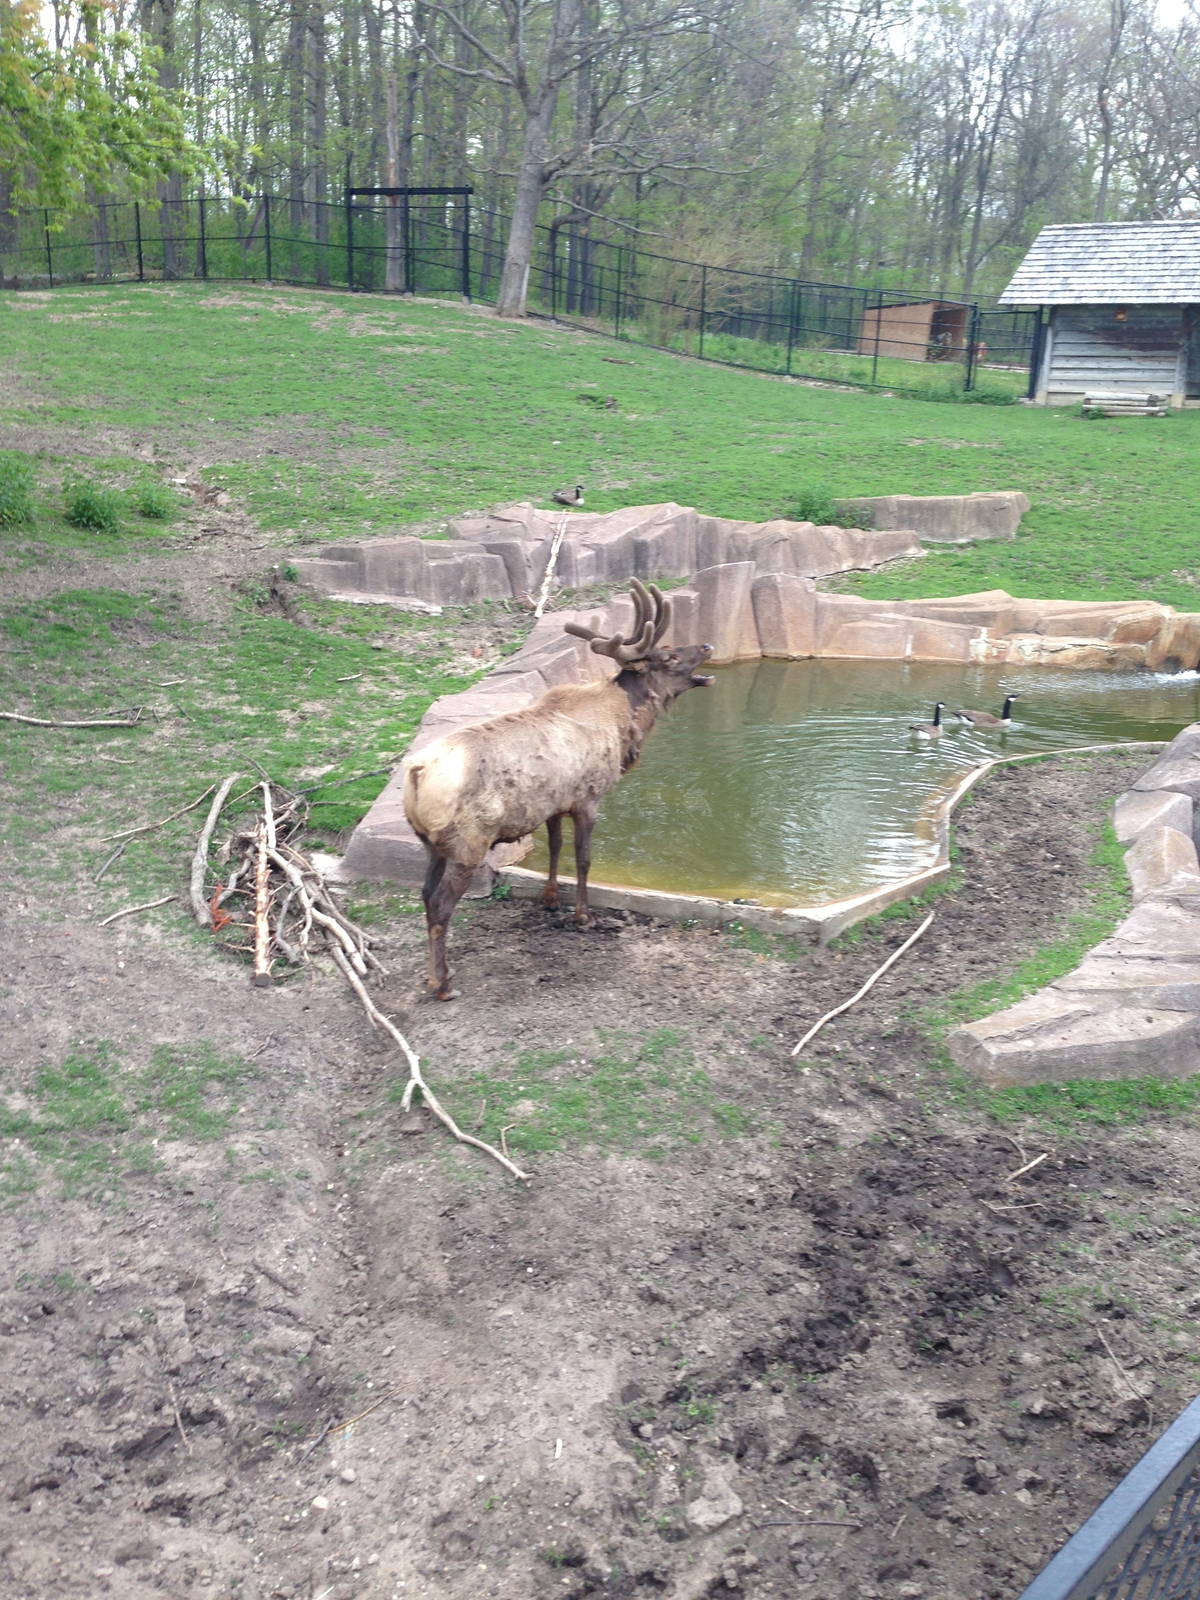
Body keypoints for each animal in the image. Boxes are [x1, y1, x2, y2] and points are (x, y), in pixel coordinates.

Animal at [402, 579, 713, 999]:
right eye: (668, 655)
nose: (707, 646)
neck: (622, 726)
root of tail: (416, 775)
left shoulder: (553, 804)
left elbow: (555, 848)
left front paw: (550, 900)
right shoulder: (588, 797)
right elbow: (583, 859)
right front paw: (584, 915)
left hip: (430, 843)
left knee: (423, 894)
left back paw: (430, 974)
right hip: (469, 842)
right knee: (440, 905)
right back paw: (444, 983)